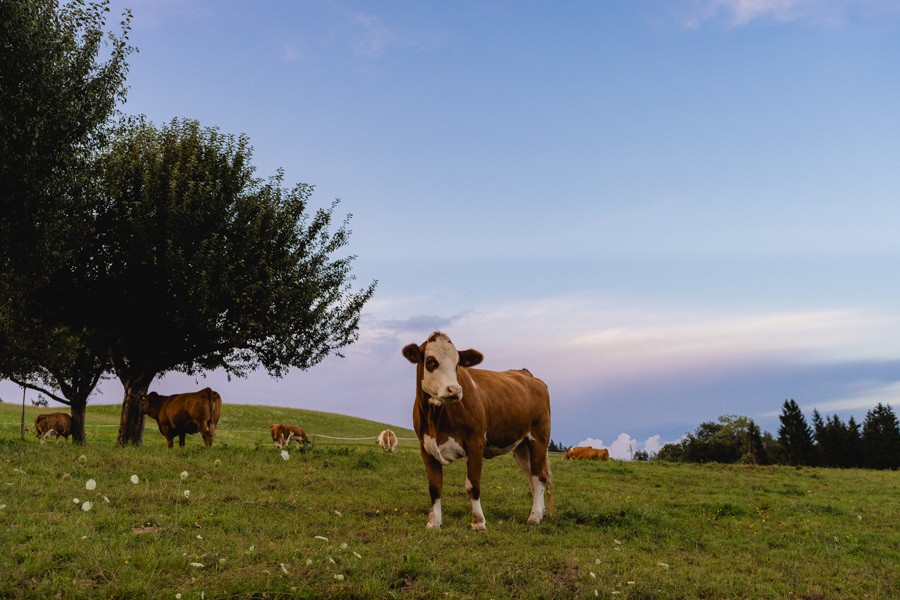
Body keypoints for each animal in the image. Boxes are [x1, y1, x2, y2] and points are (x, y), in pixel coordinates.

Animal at [404, 330, 552, 532]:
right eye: (430, 361)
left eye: (457, 364)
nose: (454, 390)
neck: (436, 420)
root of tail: (527, 374)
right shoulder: (426, 447)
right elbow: (434, 487)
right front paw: (434, 523)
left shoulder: (475, 443)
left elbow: (472, 485)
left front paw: (479, 522)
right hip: (521, 446)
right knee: (532, 477)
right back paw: (541, 513)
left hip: (539, 437)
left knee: (539, 477)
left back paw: (535, 517)